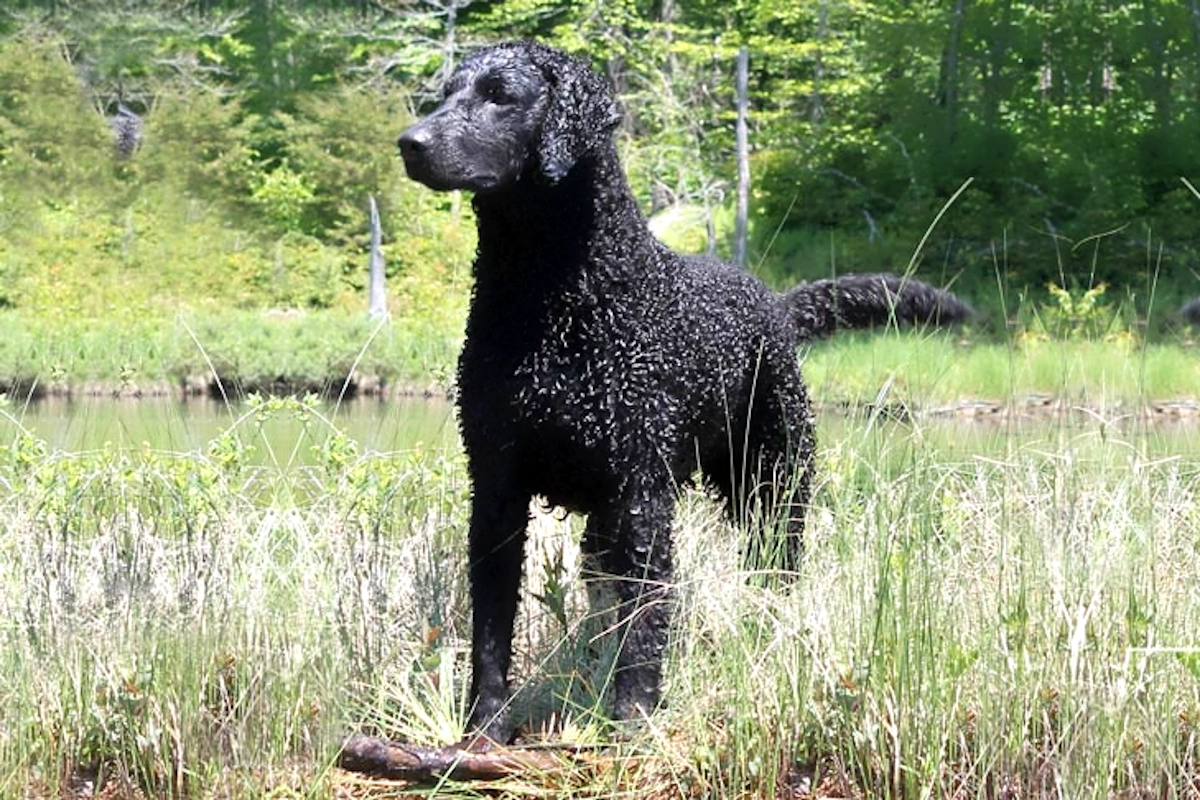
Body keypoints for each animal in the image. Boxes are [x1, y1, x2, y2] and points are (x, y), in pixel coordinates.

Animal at [398, 40, 969, 748]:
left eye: (500, 94)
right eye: (446, 93)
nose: (409, 142)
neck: (551, 303)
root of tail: (775, 303)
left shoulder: (641, 495)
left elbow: (647, 622)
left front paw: (634, 716)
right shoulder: (497, 489)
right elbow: (491, 629)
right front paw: (483, 730)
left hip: (773, 482)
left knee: (777, 569)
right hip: (613, 520)